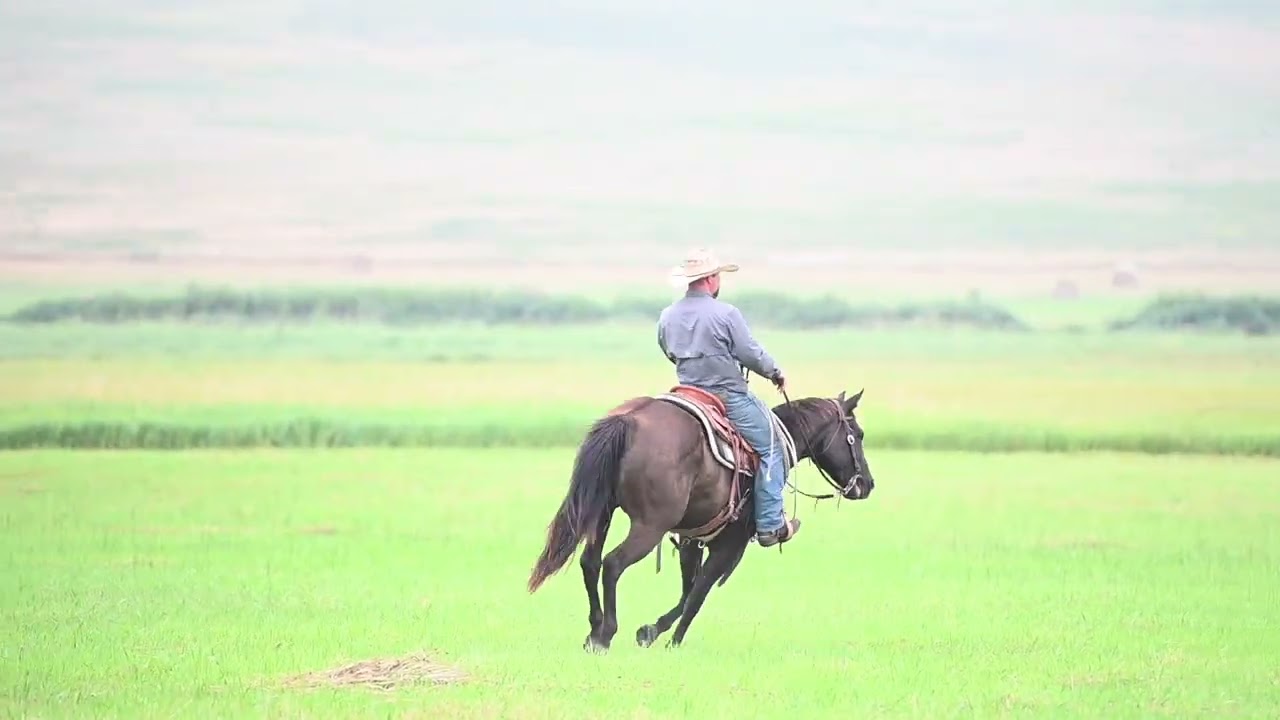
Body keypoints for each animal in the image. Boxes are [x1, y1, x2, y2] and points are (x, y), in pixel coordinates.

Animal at [526, 384, 875, 651]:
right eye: (857, 434)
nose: (867, 484)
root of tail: (628, 420)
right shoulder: (730, 544)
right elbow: (699, 592)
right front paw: (672, 640)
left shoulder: (691, 539)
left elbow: (687, 589)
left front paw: (651, 631)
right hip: (649, 526)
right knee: (613, 564)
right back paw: (606, 634)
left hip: (602, 512)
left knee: (590, 562)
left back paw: (594, 631)